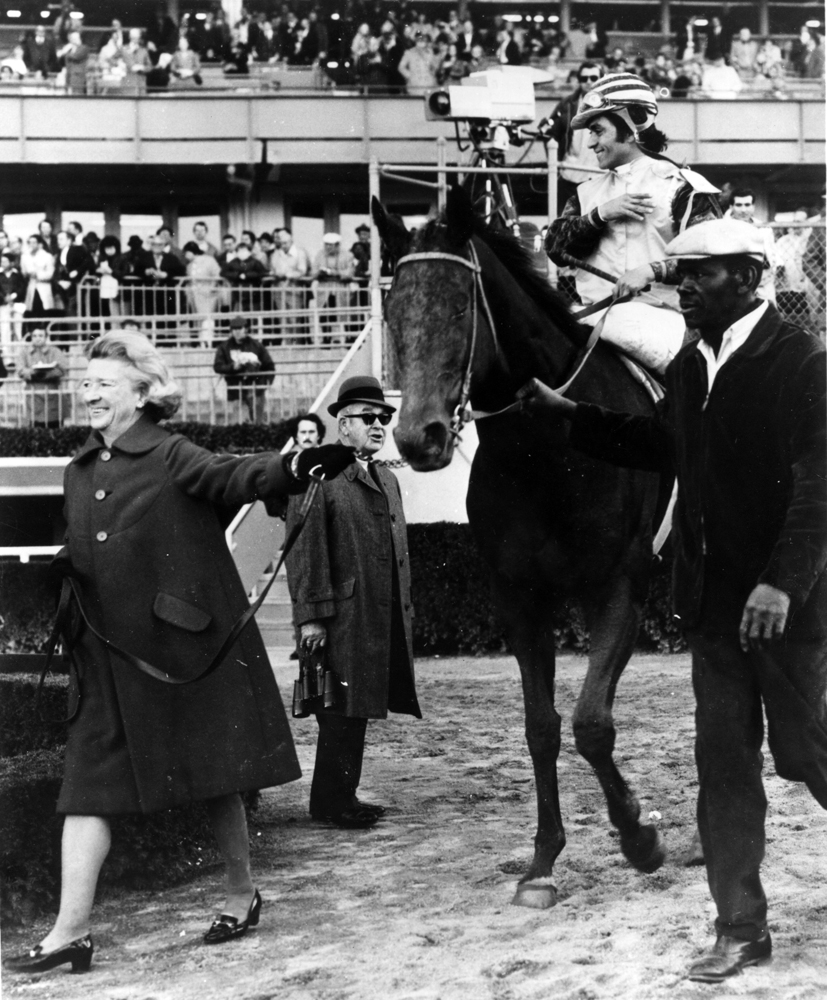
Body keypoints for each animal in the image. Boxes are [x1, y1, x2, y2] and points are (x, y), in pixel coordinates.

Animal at [372, 184, 668, 912]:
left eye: (458, 305)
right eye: (392, 309)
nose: (418, 436)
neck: (548, 451)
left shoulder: (619, 587)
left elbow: (591, 722)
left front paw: (639, 836)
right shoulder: (518, 599)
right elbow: (542, 726)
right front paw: (542, 862)